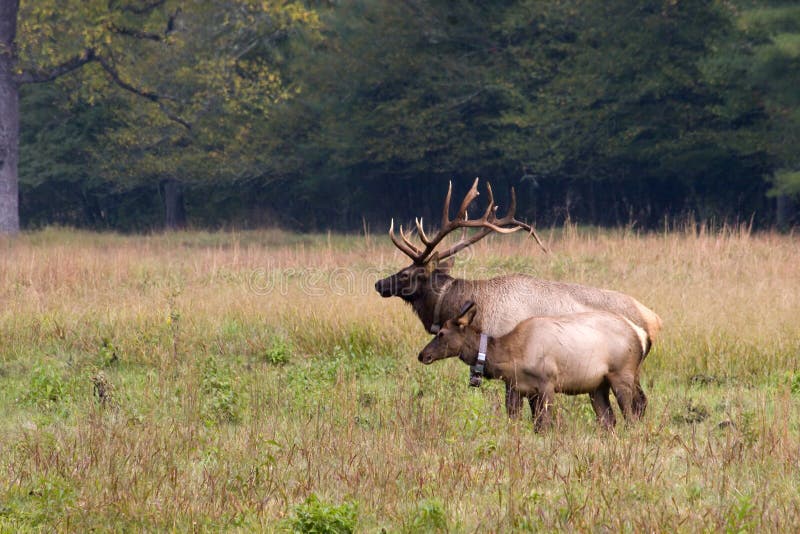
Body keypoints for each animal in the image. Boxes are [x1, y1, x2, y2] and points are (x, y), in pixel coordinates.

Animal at [418, 301, 649, 430]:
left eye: (441, 333)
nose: (422, 355)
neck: (510, 356)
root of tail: (641, 335)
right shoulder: (517, 388)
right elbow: (517, 422)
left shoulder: (547, 383)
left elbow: (544, 425)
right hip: (597, 386)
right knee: (608, 420)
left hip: (622, 374)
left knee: (633, 413)